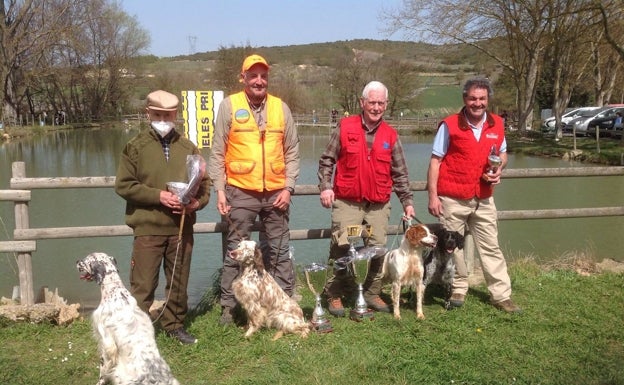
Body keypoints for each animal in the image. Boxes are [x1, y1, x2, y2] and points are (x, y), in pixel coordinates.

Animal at [76, 252, 178, 384]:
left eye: (85, 260)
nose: (77, 261)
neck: (114, 290)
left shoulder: (107, 343)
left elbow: (103, 369)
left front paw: (100, 381)